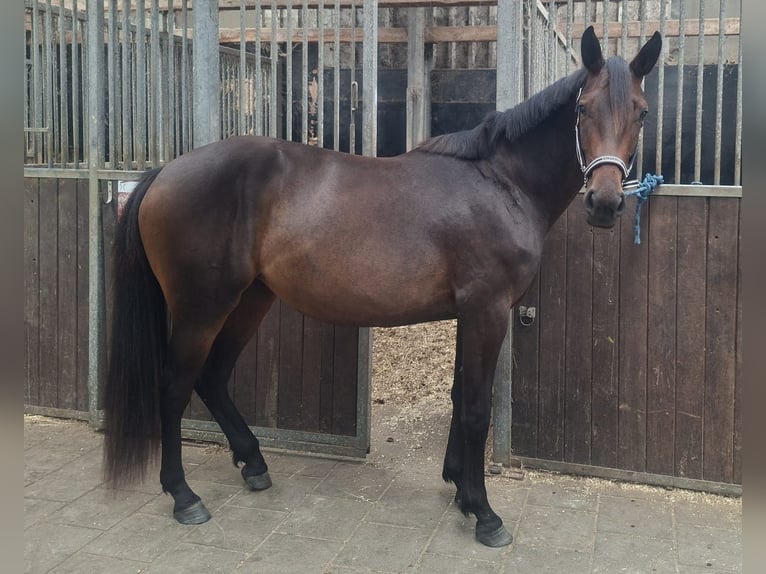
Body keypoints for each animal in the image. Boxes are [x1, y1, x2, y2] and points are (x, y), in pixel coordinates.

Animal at [102, 26, 661, 547]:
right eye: (583, 109)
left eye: (641, 113)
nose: (605, 204)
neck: (501, 183)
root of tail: (166, 171)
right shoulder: (487, 310)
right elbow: (477, 408)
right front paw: (484, 513)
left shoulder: (470, 312)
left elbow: (459, 394)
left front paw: (458, 487)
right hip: (201, 307)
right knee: (175, 386)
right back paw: (184, 496)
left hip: (249, 300)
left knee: (214, 378)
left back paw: (254, 464)